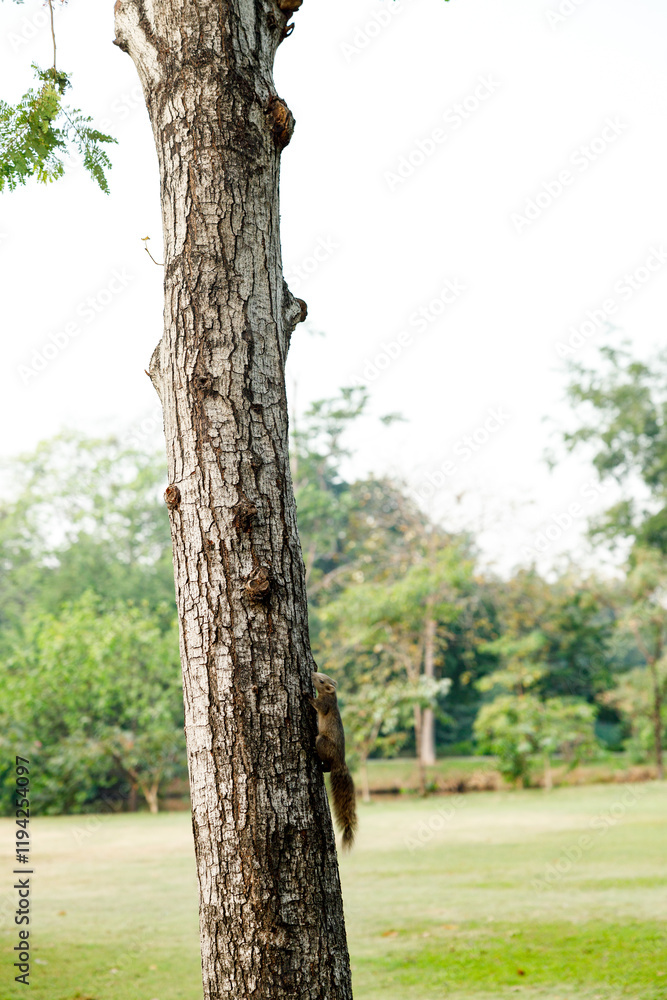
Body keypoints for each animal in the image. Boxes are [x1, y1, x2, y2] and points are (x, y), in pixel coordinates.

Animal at [310, 671, 357, 849]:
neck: (331, 695)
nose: (312, 673)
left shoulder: (325, 705)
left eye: (321, 680)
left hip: (321, 741)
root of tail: (340, 763)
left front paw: (306, 695)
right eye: (321, 675)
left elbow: (318, 706)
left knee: (326, 764)